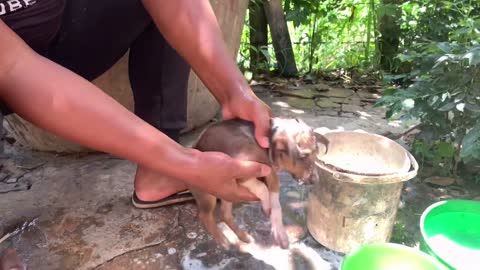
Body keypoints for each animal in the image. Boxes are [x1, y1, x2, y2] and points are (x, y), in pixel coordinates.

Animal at [191, 117, 330, 249]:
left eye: (316, 154)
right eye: (303, 157)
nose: (315, 180)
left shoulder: (271, 173)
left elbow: (275, 202)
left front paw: (279, 232)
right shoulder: (242, 170)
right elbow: (262, 188)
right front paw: (268, 207)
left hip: (225, 194)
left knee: (225, 214)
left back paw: (243, 236)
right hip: (207, 193)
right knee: (205, 216)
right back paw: (222, 240)